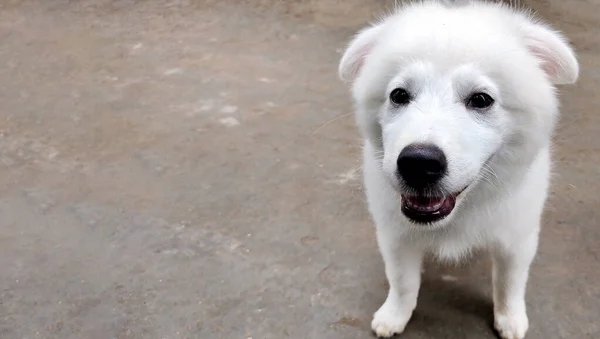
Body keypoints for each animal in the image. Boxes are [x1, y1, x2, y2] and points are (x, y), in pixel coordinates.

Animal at [338, 1, 576, 338]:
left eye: (481, 100)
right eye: (399, 95)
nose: (419, 163)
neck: (460, 212)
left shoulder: (516, 236)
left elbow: (509, 282)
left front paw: (510, 318)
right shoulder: (395, 235)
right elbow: (402, 281)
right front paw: (394, 315)